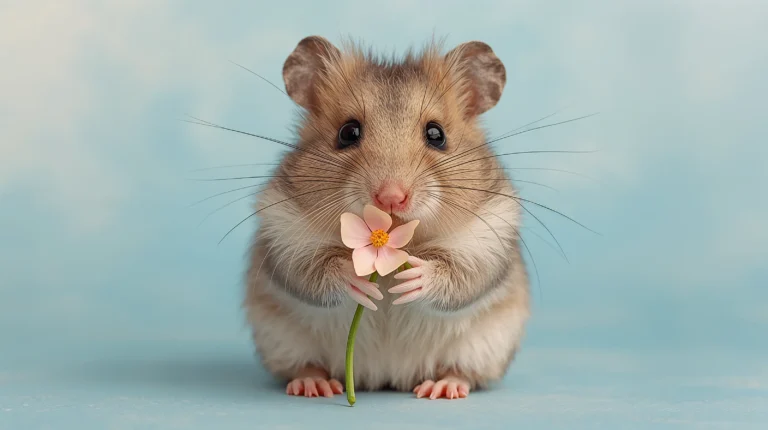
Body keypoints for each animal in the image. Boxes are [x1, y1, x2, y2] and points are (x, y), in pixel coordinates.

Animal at [244, 35, 530, 400]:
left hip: (484, 346)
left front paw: (412, 279)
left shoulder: (487, 236)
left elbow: (459, 275)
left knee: (464, 372)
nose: (391, 197)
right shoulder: (284, 231)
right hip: (283, 341)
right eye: (347, 132)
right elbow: (314, 271)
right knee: (304, 365)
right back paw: (314, 384)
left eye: (436, 135)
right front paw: (359, 279)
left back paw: (442, 387)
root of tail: (385, 377)